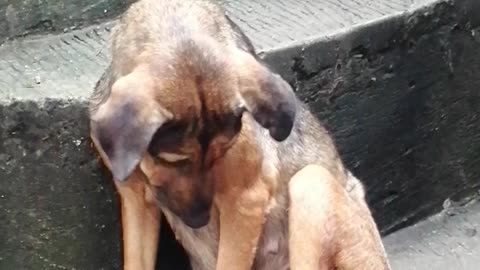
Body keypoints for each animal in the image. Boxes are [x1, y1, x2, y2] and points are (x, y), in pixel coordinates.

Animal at [88, 0, 392, 268]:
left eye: (221, 154)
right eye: (173, 160)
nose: (199, 220)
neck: (175, 24)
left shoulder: (246, 201)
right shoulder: (136, 199)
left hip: (312, 184)